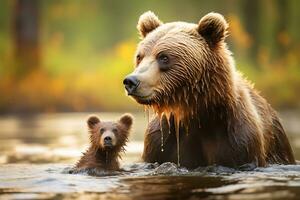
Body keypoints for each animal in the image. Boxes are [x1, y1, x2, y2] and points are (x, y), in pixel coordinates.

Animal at [122, 11, 296, 169]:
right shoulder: (160, 143)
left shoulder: (238, 140)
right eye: (139, 56)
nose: (131, 81)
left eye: (164, 57)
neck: (198, 114)